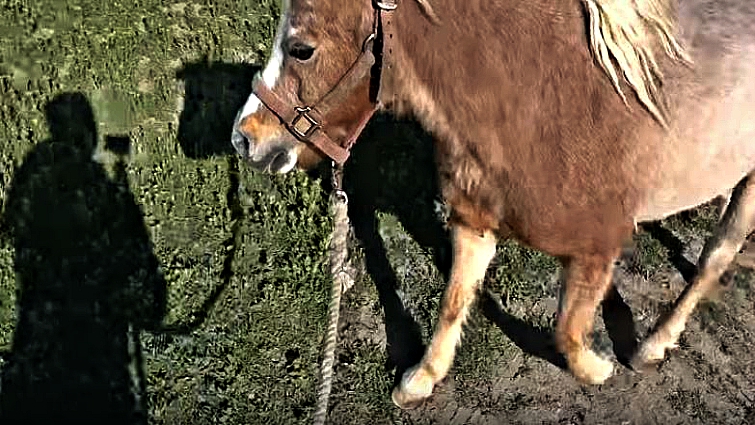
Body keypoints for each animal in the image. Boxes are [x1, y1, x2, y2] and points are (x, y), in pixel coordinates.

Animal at [230, 0, 755, 409]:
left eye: (302, 49)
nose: (244, 139)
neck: (533, 104)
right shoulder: (473, 223)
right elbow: (454, 300)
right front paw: (419, 380)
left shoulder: (600, 244)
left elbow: (566, 329)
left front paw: (598, 368)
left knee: (716, 256)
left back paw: (653, 347)